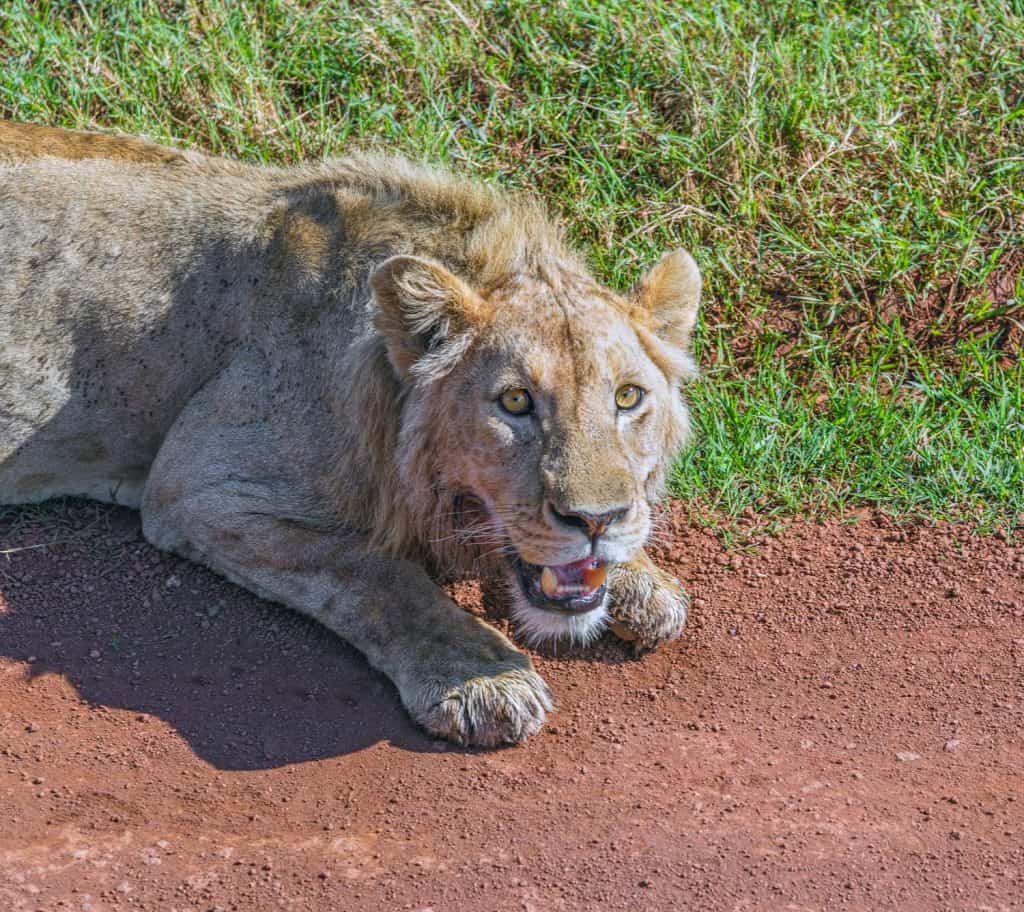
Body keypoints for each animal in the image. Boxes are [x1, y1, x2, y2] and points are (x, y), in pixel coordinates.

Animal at [0, 121, 701, 747]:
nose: (596, 520)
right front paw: (479, 678)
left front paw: (640, 578)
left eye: (628, 398)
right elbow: (375, 571)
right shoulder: (195, 487)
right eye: (515, 402)